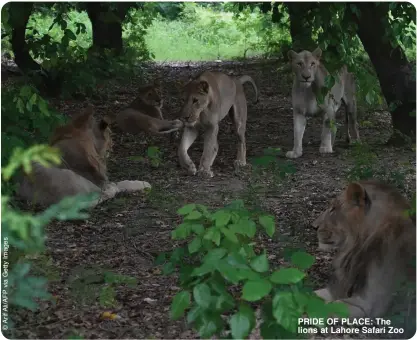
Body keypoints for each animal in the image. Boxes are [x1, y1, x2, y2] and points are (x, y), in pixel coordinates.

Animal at [18, 105, 151, 209]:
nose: (113, 145)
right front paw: (143, 183)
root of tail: (58, 203)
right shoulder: (100, 181)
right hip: (76, 179)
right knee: (104, 194)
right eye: (110, 134)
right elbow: (122, 183)